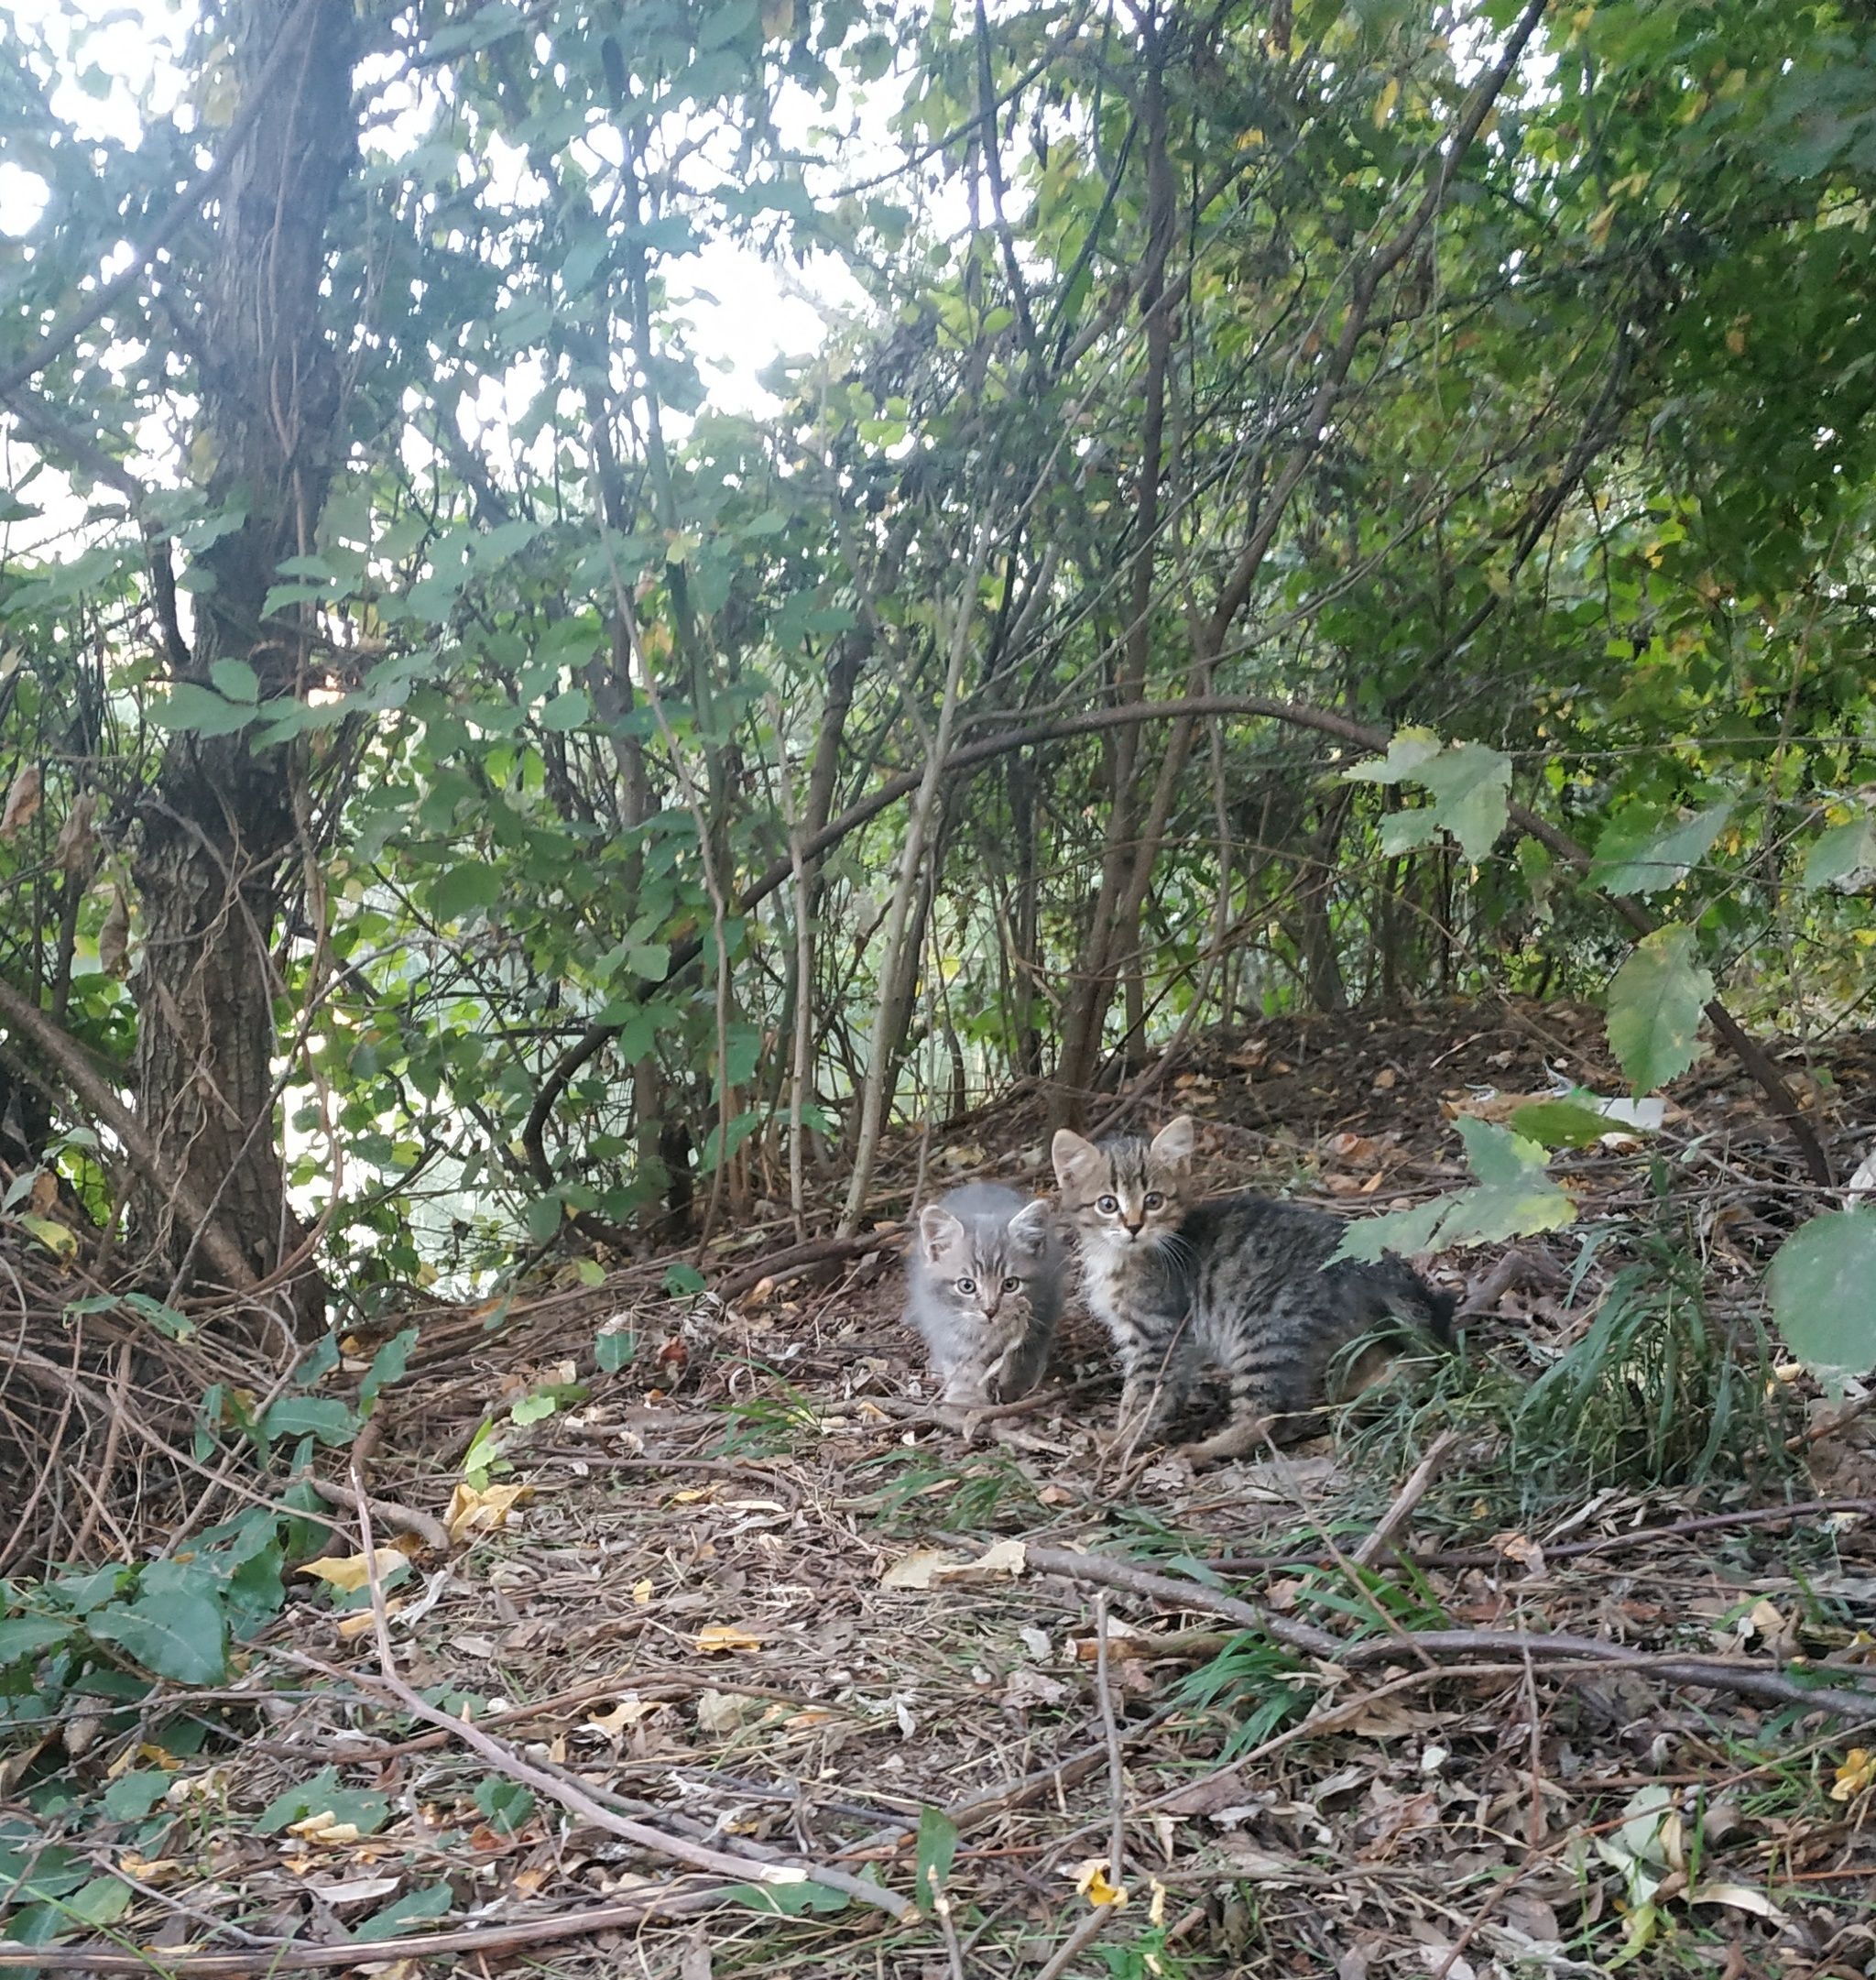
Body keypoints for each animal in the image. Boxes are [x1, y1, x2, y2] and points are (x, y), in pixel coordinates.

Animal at [906, 1172, 1060, 1409]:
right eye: (967, 1286)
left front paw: (1015, 1387)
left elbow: (1023, 1354)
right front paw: (965, 1398)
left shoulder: (1041, 1311)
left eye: (1010, 1284)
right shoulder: (947, 1322)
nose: (990, 1311)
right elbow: (963, 1364)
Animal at [1053, 1124, 1448, 1465]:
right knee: (1403, 1366)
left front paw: (1123, 1439)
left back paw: (1205, 1450)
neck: (1120, 1256)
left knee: (1267, 1418)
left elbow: (1143, 1396)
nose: (1133, 1226)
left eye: (1153, 1200)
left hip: (1266, 1334)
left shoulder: (1158, 1336)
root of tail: (1367, 1260)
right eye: (1107, 1204)